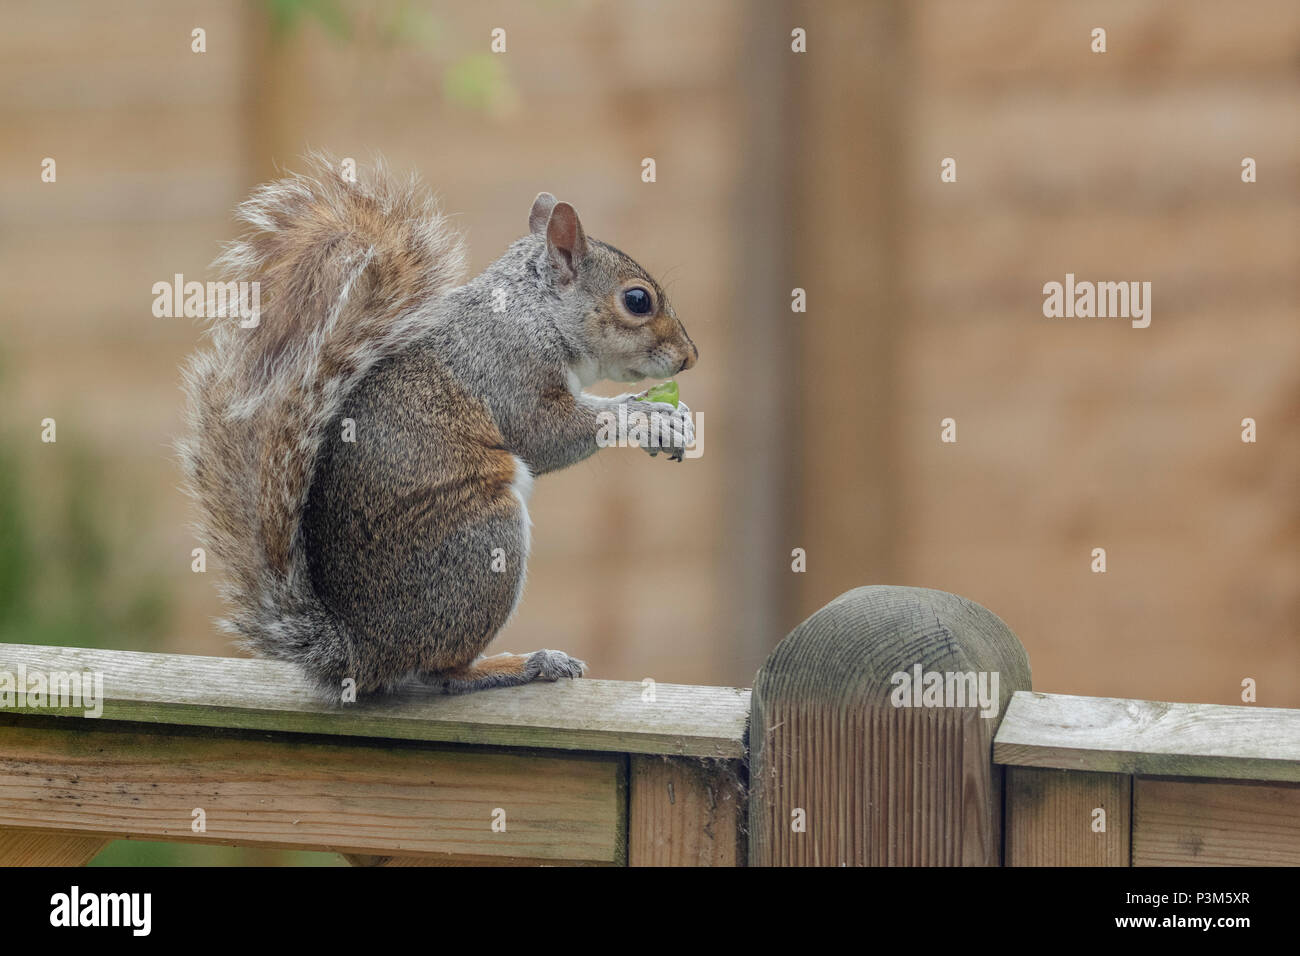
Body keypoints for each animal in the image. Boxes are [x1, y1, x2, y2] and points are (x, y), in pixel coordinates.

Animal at [179, 155, 697, 698]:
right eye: (637, 300)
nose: (690, 357)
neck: (533, 310)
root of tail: (360, 651)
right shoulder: (506, 370)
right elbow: (546, 436)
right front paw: (649, 417)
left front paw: (671, 414)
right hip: (483, 539)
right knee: (441, 670)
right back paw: (520, 664)